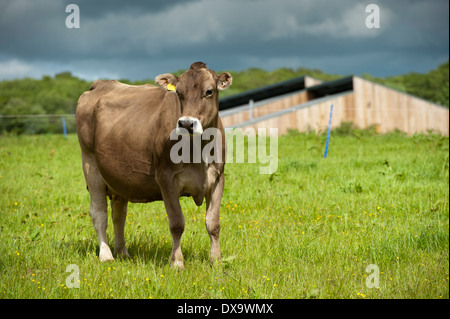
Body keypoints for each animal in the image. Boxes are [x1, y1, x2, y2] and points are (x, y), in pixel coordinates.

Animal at [75, 61, 232, 268]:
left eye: (209, 91)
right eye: (179, 93)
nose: (186, 124)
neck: (199, 151)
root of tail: (102, 84)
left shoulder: (217, 178)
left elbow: (213, 224)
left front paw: (217, 261)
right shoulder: (166, 178)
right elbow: (177, 224)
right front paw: (177, 263)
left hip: (119, 177)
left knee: (119, 214)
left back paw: (122, 252)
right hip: (90, 165)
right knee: (99, 213)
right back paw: (106, 255)